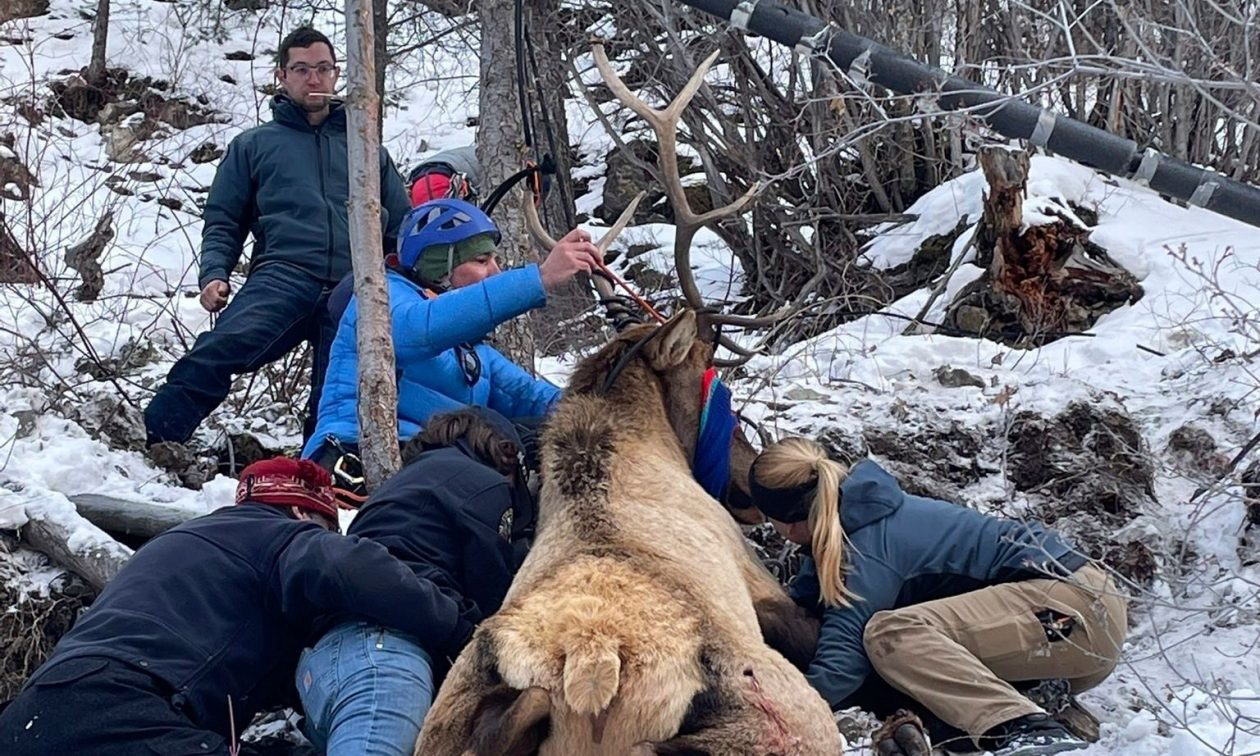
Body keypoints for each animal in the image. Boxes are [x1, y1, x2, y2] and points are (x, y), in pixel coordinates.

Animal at [418, 41, 841, 756]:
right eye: (710, 371)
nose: (749, 480)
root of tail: (593, 663)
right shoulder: (763, 586)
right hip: (791, 713)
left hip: (442, 718)